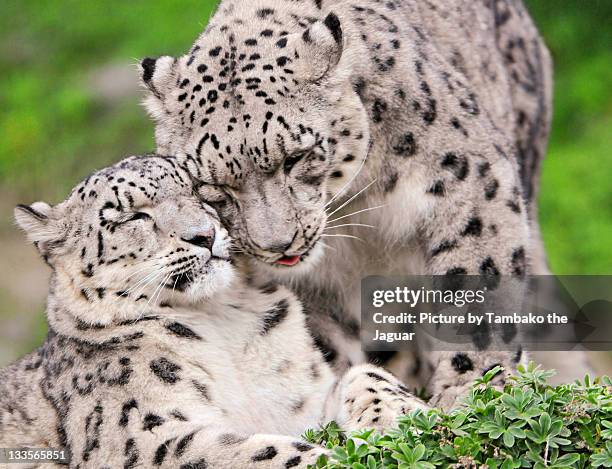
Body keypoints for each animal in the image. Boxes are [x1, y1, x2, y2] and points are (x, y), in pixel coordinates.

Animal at [0, 154, 428, 468]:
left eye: (198, 190)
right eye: (131, 216)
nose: (203, 234)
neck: (223, 322)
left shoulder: (302, 401)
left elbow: (364, 373)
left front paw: (398, 420)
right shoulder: (139, 435)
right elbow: (253, 451)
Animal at [139, 0, 564, 406]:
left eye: (295, 157)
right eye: (213, 184)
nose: (277, 245)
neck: (356, 212)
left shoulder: (468, 177)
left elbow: (478, 288)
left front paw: (473, 387)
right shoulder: (314, 289)